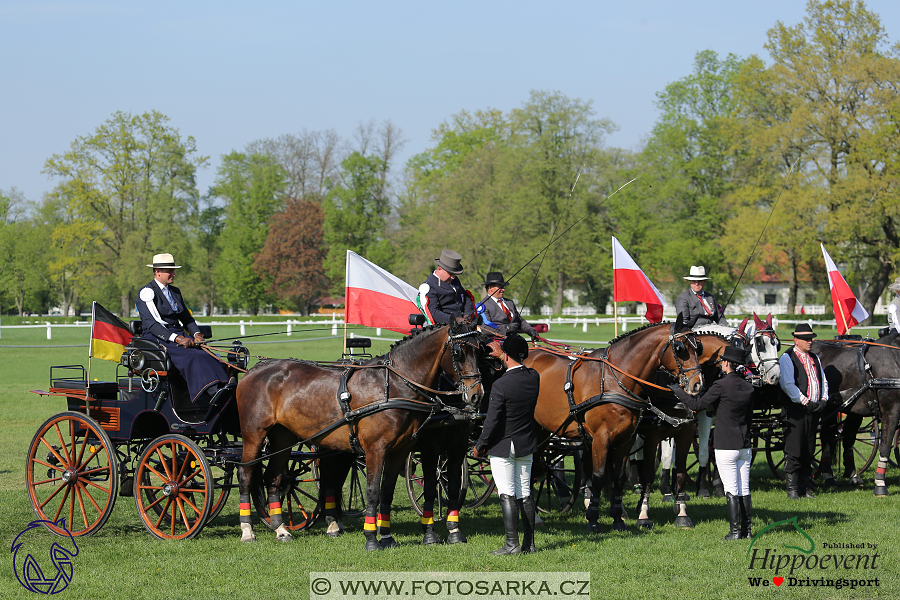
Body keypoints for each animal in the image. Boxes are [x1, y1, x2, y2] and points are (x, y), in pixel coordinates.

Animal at [234, 322, 486, 552]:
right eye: (458, 352)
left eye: (481, 351)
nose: (476, 395)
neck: (394, 385)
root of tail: (255, 369)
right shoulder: (378, 450)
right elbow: (373, 492)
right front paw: (372, 538)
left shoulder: (400, 451)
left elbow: (387, 491)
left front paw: (387, 537)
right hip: (254, 435)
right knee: (245, 474)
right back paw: (247, 530)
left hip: (283, 437)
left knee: (274, 477)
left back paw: (281, 529)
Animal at [524, 316, 708, 532]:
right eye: (680, 348)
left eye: (699, 348)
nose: (698, 384)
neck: (615, 379)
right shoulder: (602, 438)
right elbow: (599, 477)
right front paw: (594, 520)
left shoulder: (626, 440)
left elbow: (619, 477)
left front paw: (618, 519)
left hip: (542, 432)